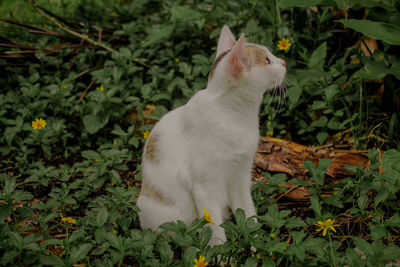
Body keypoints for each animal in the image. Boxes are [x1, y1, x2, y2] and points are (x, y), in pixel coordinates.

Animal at [138, 25, 288, 247]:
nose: (284, 62)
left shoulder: (241, 175)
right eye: (267, 60)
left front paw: (256, 244)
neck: (236, 117)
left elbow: (248, 214)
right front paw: (220, 252)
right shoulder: (205, 187)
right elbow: (215, 228)